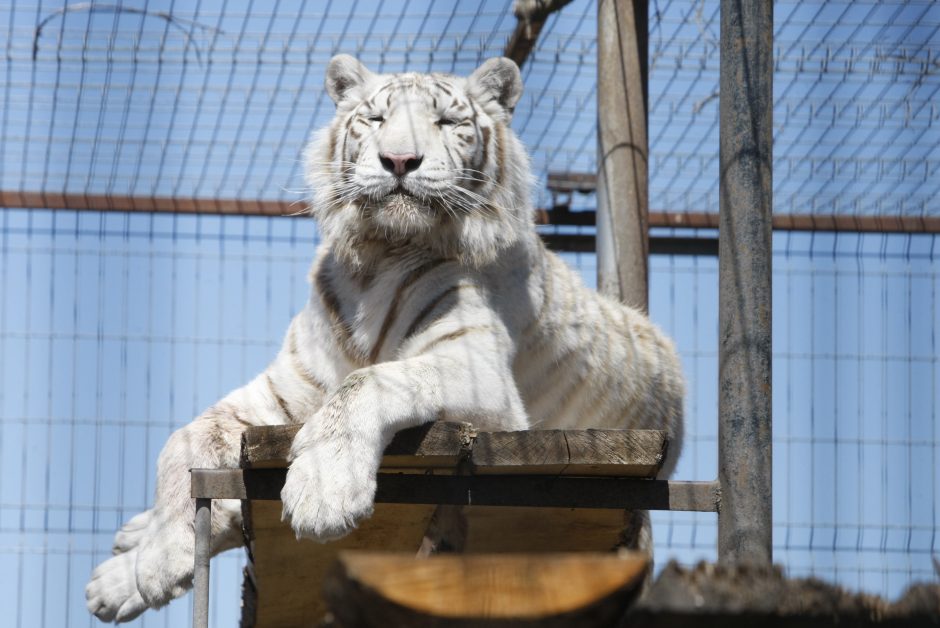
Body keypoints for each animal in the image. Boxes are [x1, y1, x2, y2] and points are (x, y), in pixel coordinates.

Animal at [82, 55, 684, 624]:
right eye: (374, 119)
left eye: (447, 122)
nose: (398, 161)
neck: (378, 256)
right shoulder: (283, 390)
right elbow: (183, 441)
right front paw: (161, 555)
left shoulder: (475, 368)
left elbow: (366, 381)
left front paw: (322, 490)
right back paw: (120, 565)